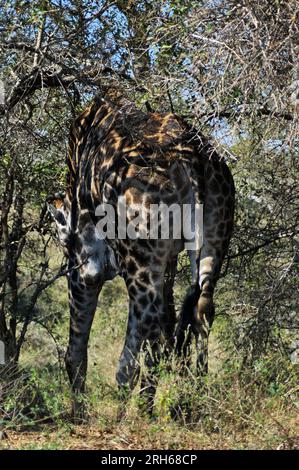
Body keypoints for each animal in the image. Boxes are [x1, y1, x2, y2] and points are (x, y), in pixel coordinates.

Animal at [47, 93, 234, 420]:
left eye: (64, 241)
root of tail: (192, 159)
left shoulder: (85, 266)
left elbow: (75, 350)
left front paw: (79, 411)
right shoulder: (163, 260)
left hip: (139, 255)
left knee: (151, 323)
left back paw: (134, 413)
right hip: (211, 239)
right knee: (199, 309)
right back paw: (193, 399)